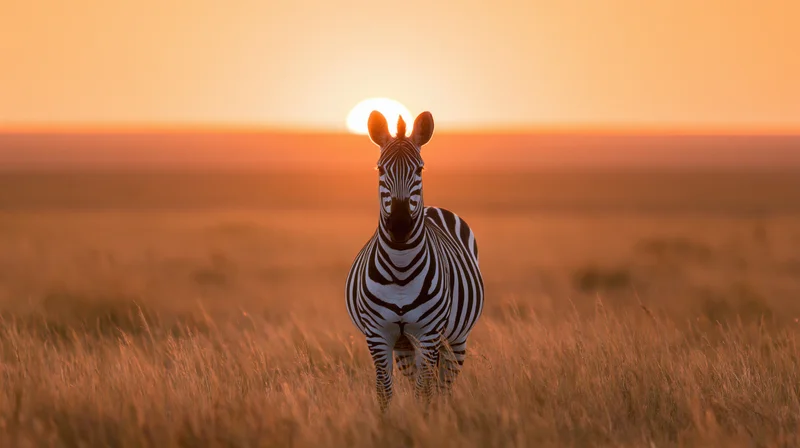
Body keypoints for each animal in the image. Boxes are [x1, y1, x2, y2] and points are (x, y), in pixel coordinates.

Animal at [345, 110, 484, 410]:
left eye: (419, 169)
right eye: (380, 169)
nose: (399, 226)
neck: (400, 268)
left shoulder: (429, 333)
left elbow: (425, 390)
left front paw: (425, 420)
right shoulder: (378, 335)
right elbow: (385, 391)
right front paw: (387, 423)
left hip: (456, 340)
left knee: (443, 384)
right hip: (405, 346)